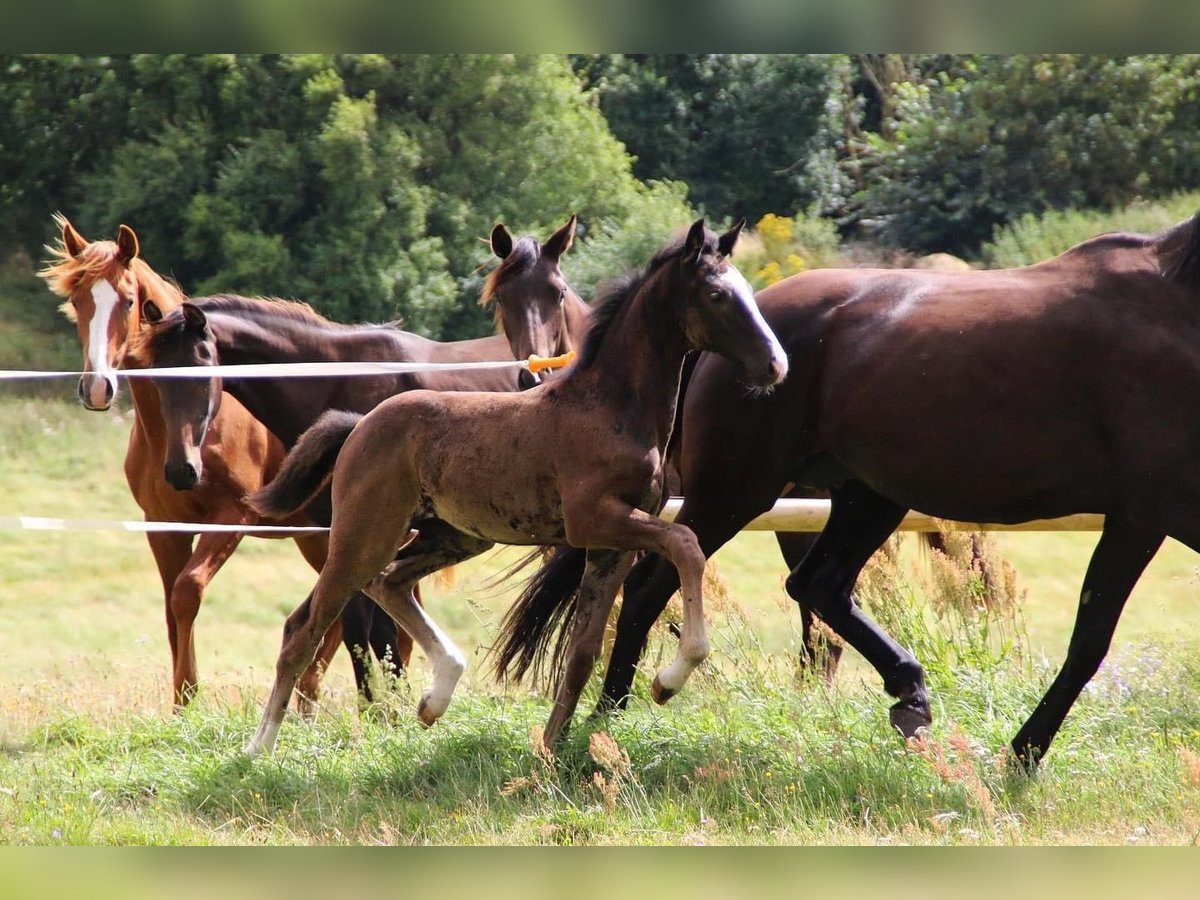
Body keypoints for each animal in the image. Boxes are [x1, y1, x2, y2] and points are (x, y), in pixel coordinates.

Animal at [238, 222, 792, 758]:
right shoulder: (595, 520)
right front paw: (669, 680)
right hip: (364, 534)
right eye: (717, 294)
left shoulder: (609, 545)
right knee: (307, 628)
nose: (776, 365)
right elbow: (686, 544)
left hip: (455, 536)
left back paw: (435, 699)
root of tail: (359, 425)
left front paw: (550, 751)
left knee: (388, 583)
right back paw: (259, 748)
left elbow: (582, 652)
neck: (612, 408)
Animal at [504, 211, 1200, 768]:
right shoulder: (1146, 512)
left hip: (868, 496)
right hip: (739, 491)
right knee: (654, 585)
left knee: (817, 586)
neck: (1178, 308)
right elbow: (1090, 641)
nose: (773, 365)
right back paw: (606, 725)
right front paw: (1024, 755)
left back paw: (910, 695)